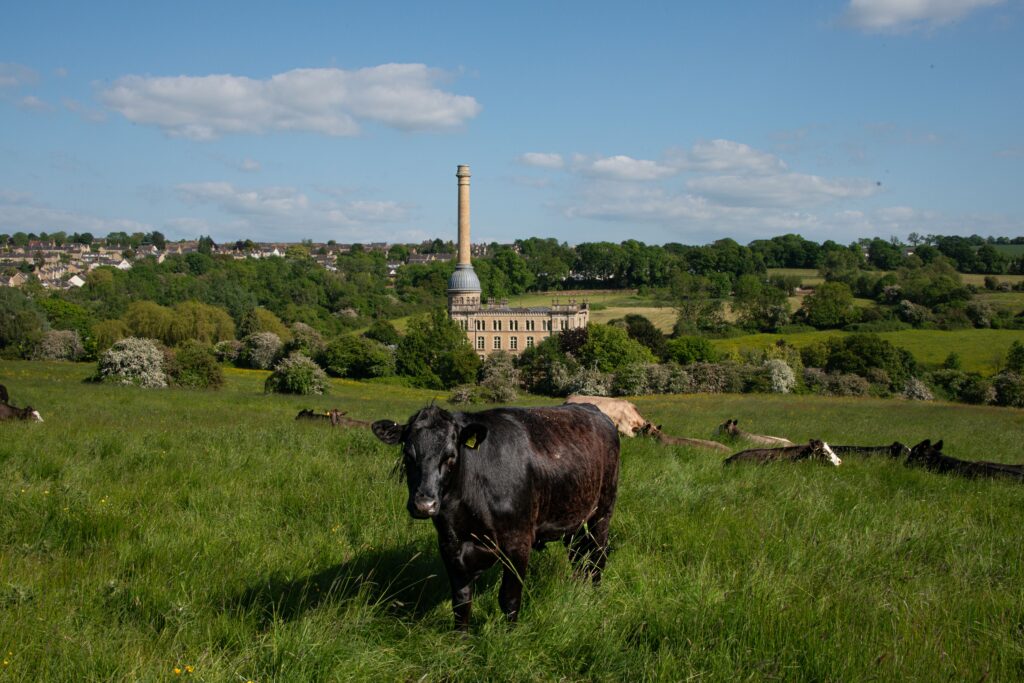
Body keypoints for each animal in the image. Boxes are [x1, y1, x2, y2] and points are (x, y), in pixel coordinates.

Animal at [372, 403, 620, 630]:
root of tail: (593, 409)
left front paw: (510, 637)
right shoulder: (450, 545)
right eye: (408, 454)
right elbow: (461, 601)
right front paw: (459, 641)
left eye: (450, 456)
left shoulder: (518, 542)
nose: (425, 505)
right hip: (572, 515)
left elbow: (509, 599)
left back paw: (595, 595)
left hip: (603, 511)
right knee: (577, 553)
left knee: (597, 555)